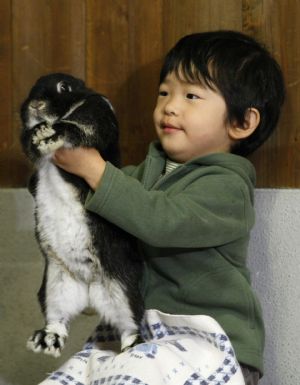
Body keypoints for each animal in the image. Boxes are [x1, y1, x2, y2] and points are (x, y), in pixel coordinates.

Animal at [20, 73, 144, 356]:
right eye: (33, 86)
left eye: (64, 87)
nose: (35, 104)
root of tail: (88, 288)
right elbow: (30, 142)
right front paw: (37, 134)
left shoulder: (95, 115)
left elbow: (75, 128)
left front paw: (48, 134)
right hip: (54, 286)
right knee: (58, 319)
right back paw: (46, 341)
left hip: (122, 288)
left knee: (131, 324)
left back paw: (133, 349)